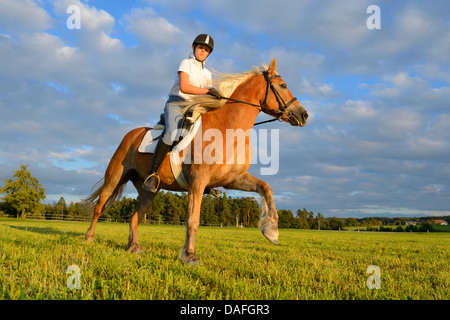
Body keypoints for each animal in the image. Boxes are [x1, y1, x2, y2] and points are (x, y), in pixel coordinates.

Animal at [85, 58, 310, 264]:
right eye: (283, 85)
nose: (304, 115)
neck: (229, 129)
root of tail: (130, 134)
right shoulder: (198, 181)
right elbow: (193, 220)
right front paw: (190, 256)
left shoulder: (232, 179)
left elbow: (265, 187)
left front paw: (271, 230)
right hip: (115, 176)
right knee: (99, 206)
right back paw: (89, 238)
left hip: (149, 190)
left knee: (135, 216)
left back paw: (134, 247)